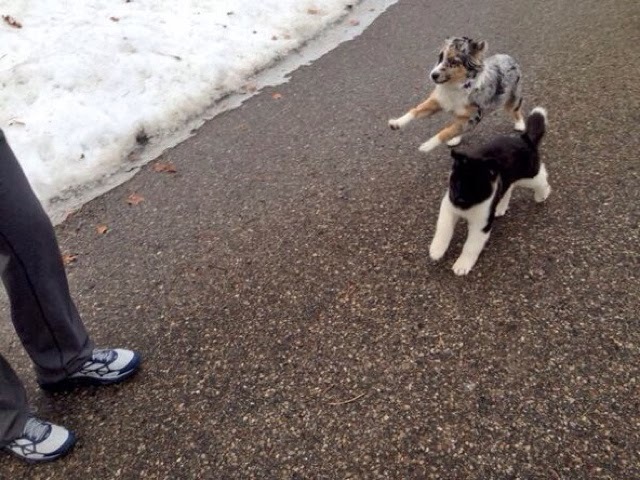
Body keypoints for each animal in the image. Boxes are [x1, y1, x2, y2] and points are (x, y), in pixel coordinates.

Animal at [388, 37, 524, 154]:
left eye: (453, 61)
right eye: (440, 58)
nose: (433, 75)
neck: (456, 86)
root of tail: (508, 57)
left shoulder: (473, 116)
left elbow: (447, 131)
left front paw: (428, 145)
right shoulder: (437, 101)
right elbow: (415, 110)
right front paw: (397, 123)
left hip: (513, 97)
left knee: (515, 110)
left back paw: (520, 124)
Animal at [430, 107, 552, 276]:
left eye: (475, 190)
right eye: (455, 184)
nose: (458, 202)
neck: (467, 207)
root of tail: (524, 139)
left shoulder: (481, 223)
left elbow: (471, 245)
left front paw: (462, 264)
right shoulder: (448, 205)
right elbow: (443, 228)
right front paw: (437, 249)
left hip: (529, 174)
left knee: (541, 176)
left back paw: (542, 194)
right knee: (509, 188)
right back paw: (501, 207)